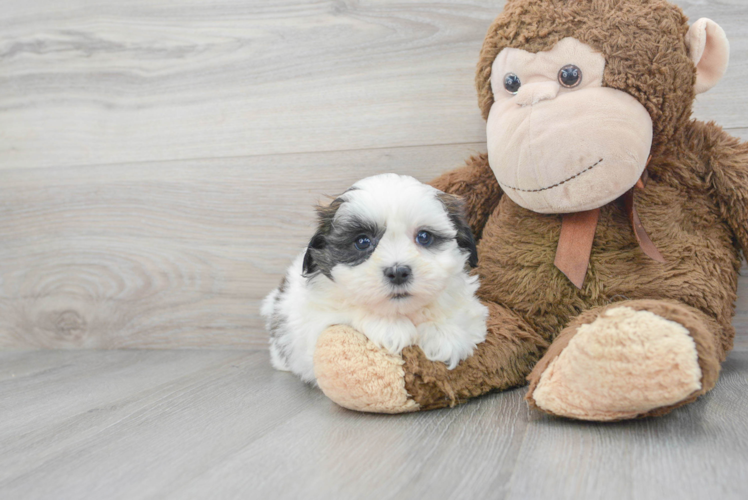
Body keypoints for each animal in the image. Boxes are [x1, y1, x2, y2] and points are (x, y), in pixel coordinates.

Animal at [260, 174, 488, 384]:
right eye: (362, 241)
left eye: (424, 237)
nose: (398, 272)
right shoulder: (313, 323)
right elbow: (348, 310)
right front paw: (390, 326)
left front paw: (444, 333)